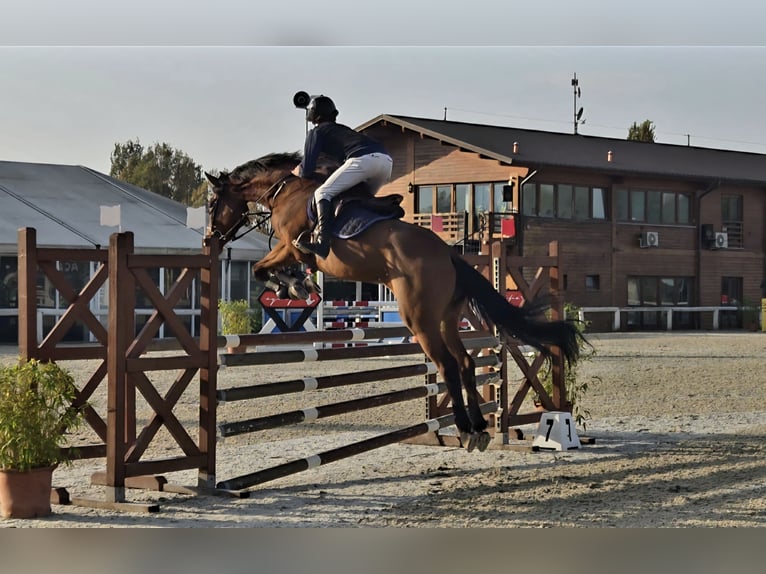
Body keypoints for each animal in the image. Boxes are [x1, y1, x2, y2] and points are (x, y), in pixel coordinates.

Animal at [206, 151, 583, 452]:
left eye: (212, 204)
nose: (211, 238)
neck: (287, 191)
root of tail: (449, 254)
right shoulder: (291, 249)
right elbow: (265, 268)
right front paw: (294, 285)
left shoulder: (292, 245)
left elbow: (261, 267)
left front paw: (294, 285)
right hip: (445, 318)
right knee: (464, 362)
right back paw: (478, 427)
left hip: (419, 319)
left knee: (448, 364)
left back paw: (465, 428)